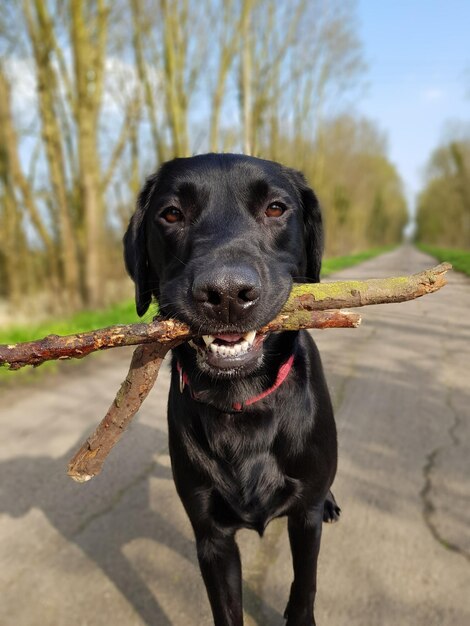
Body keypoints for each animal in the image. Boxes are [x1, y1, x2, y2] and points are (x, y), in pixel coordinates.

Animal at [123, 152, 340, 624]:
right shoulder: (211, 537)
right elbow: (226, 610)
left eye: (275, 208)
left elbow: (304, 588)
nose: (225, 293)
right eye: (171, 213)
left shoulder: (305, 520)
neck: (241, 402)